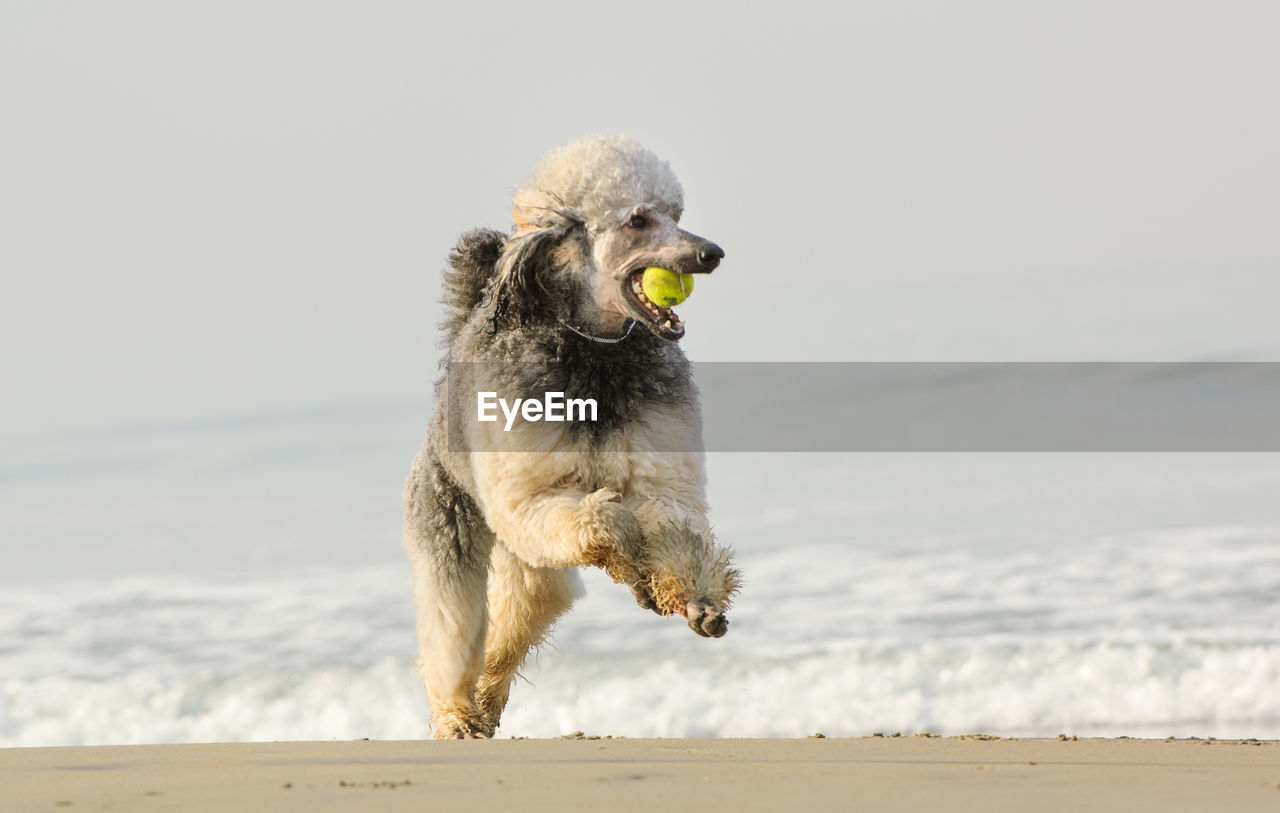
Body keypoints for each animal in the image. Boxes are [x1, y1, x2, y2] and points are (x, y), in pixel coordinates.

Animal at [399, 133, 742, 737]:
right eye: (637, 220)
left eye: (675, 215)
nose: (711, 254)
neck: (592, 352)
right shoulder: (531, 498)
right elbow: (608, 521)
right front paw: (628, 555)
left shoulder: (661, 475)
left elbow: (672, 527)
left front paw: (692, 596)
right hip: (451, 523)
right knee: (452, 629)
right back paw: (458, 714)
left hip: (528, 568)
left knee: (515, 622)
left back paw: (486, 701)